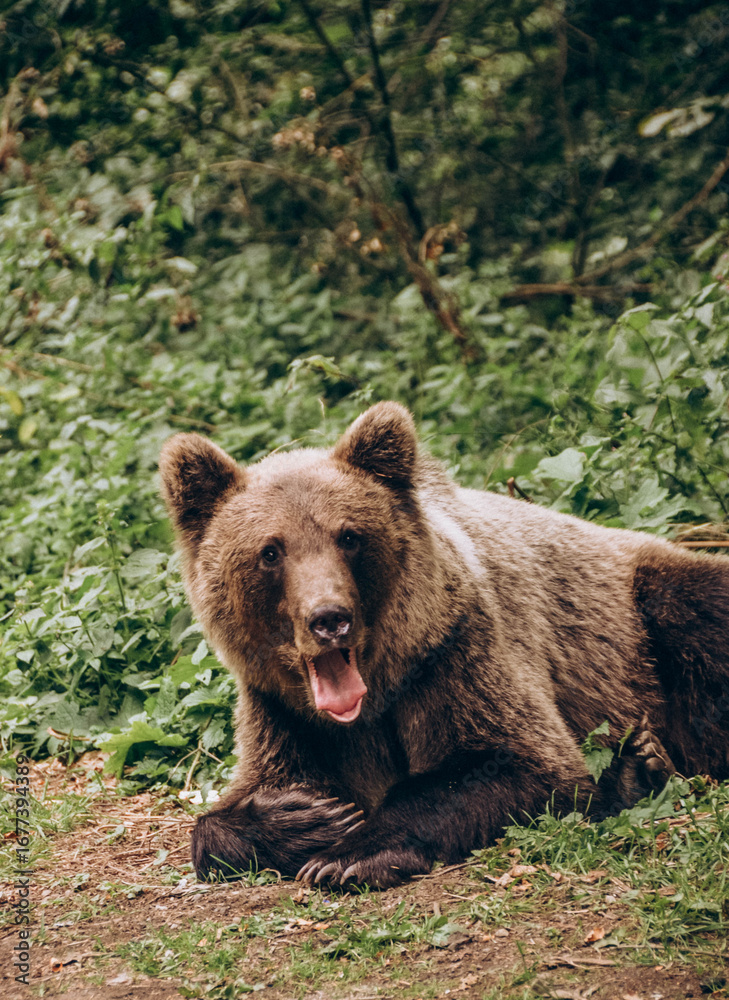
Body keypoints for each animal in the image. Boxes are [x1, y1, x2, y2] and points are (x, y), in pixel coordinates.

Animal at [159, 401, 729, 888]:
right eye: (271, 551)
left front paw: (347, 857)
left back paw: (643, 763)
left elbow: (520, 762)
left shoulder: (454, 651)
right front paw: (307, 816)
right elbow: (239, 804)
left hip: (643, 608)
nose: (329, 618)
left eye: (349, 536)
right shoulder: (283, 711)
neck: (374, 696)